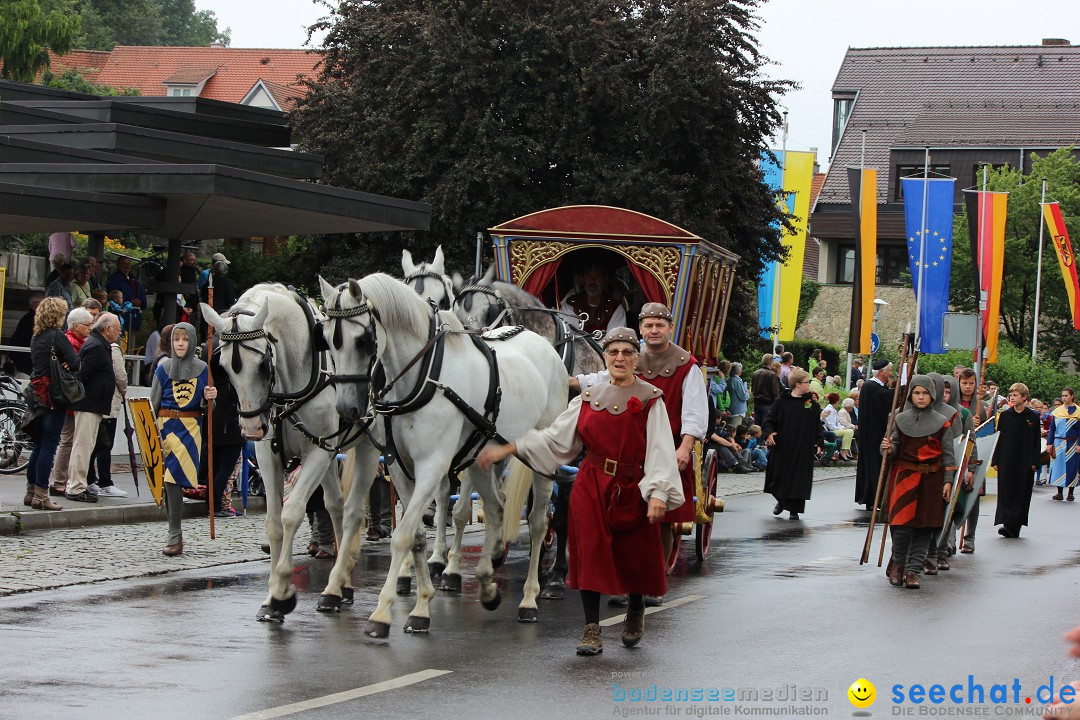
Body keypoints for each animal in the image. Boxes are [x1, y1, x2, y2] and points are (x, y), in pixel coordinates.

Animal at [203, 284, 380, 621]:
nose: (251, 428)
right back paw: (341, 587)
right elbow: (273, 522)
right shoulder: (268, 454)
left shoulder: (317, 452)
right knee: (335, 505)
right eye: (223, 367)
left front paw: (283, 593)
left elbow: (292, 512)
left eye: (261, 364)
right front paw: (272, 596)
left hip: (369, 448)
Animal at [317, 272, 565, 634]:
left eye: (363, 340)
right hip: (482, 457)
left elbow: (403, 535)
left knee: (537, 522)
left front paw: (385, 612)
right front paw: (422, 601)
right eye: (327, 341)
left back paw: (530, 599)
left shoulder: (432, 466)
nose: (348, 410)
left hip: (541, 457)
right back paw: (487, 580)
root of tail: (546, 346)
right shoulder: (400, 466)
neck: (423, 378)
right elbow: (418, 534)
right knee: (495, 509)